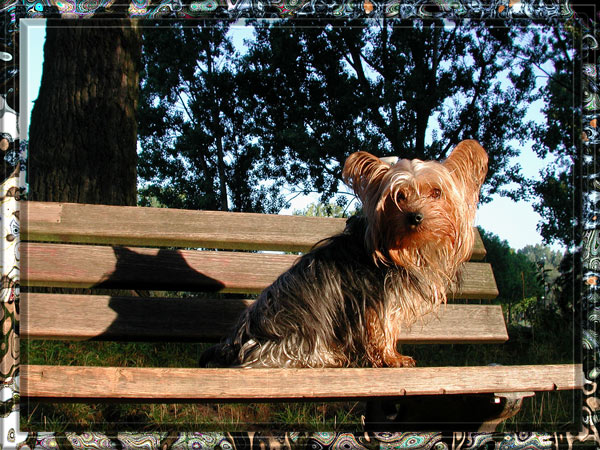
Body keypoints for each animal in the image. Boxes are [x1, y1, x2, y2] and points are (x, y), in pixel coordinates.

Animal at [202, 141, 488, 370]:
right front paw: (391, 358)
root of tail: (233, 345)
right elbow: (383, 328)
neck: (403, 250)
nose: (415, 217)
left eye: (437, 193)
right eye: (398, 196)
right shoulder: (375, 302)